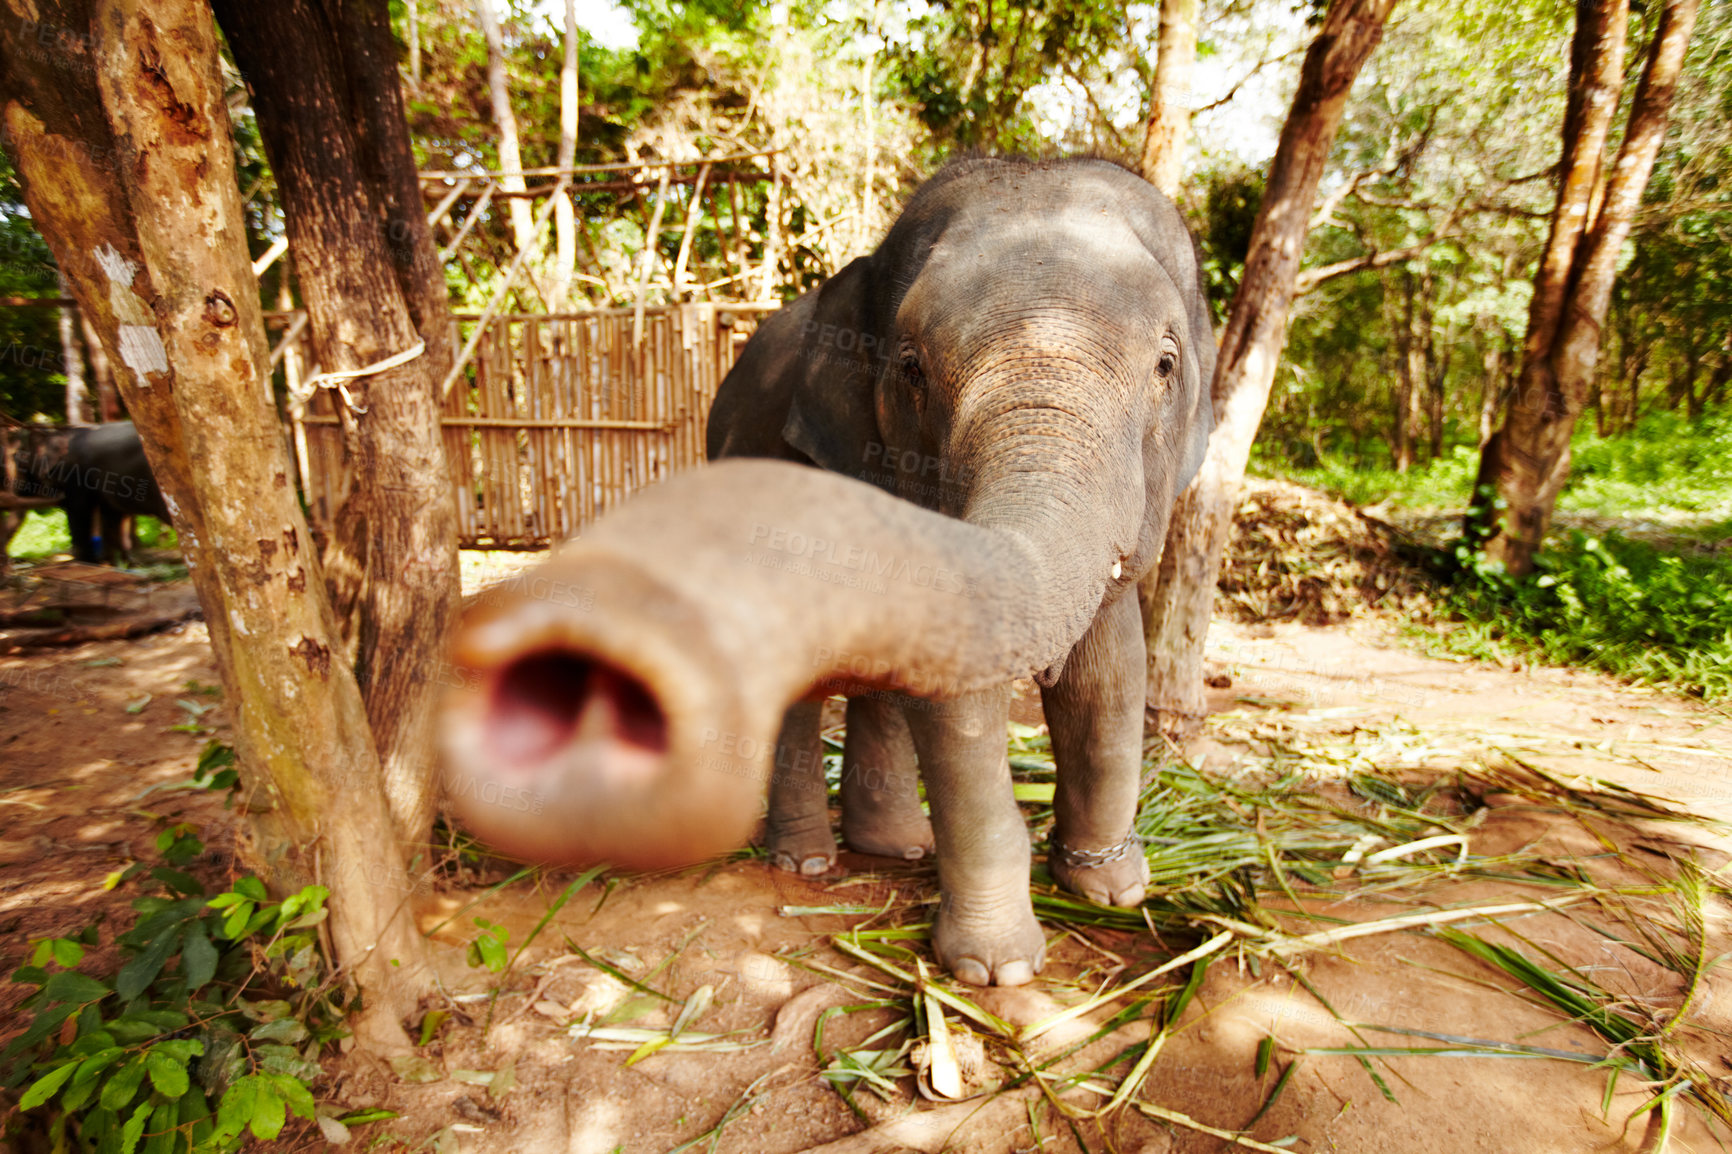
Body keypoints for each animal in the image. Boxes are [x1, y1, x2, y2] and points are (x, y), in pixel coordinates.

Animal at [439, 157, 1212, 984]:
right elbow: (957, 701)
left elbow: (1111, 675)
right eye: (911, 371)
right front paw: (997, 970)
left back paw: (896, 845)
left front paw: (1112, 889)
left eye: (1166, 366)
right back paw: (806, 862)